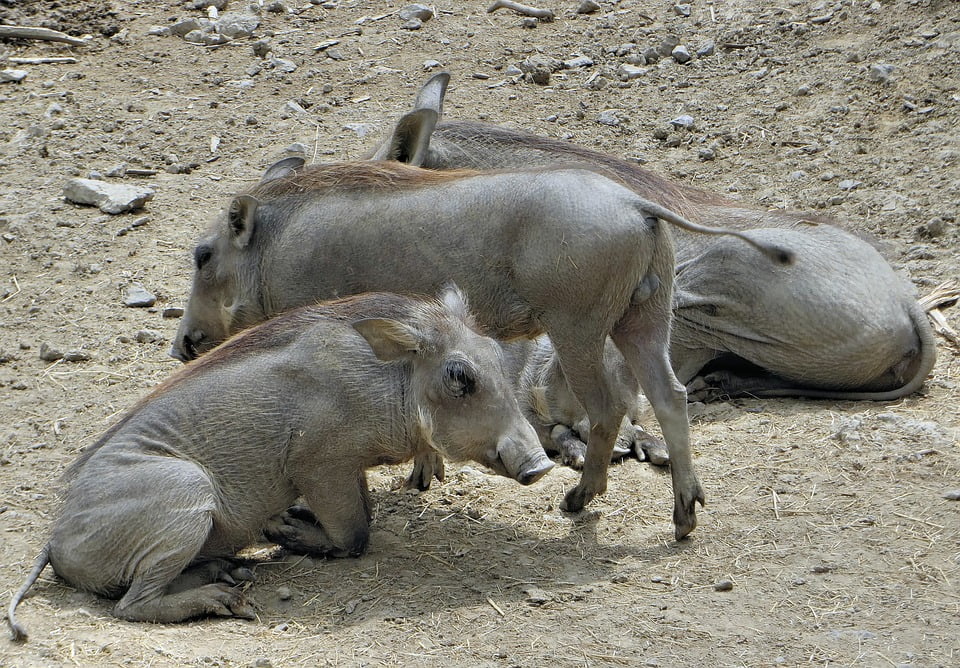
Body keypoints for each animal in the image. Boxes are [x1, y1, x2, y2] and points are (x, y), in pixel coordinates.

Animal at [7, 288, 552, 641]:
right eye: (460, 376)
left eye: (495, 354)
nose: (542, 466)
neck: (387, 381)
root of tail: (54, 542)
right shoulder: (321, 467)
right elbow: (355, 534)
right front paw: (289, 532)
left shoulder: (347, 468)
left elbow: (365, 514)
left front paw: (288, 526)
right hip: (185, 493)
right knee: (132, 605)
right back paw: (226, 598)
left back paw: (230, 572)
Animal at [171, 159, 793, 539]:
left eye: (203, 255)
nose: (181, 349)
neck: (271, 250)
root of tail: (636, 203)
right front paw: (425, 476)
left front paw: (420, 478)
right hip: (644, 318)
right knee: (670, 396)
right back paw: (685, 516)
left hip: (578, 328)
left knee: (609, 406)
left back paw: (578, 500)